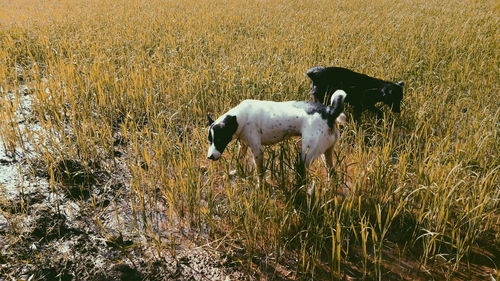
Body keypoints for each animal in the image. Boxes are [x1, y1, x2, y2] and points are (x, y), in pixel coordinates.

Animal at [205, 89, 346, 180]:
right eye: (209, 141)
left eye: (219, 139)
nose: (210, 157)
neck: (240, 117)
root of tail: (329, 111)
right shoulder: (243, 145)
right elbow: (240, 159)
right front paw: (236, 172)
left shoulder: (257, 150)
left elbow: (260, 173)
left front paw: (260, 187)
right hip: (326, 152)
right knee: (332, 173)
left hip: (307, 155)